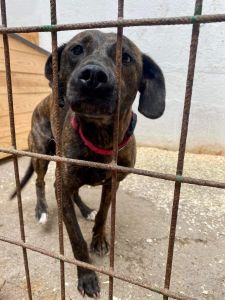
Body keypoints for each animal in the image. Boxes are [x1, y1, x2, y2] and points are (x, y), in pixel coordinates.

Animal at [11, 30, 165, 298]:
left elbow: (103, 214)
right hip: (41, 153)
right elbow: (75, 239)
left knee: (72, 192)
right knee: (40, 182)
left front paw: (99, 239)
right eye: (76, 50)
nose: (93, 76)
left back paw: (84, 209)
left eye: (125, 57)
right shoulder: (63, 184)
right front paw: (87, 276)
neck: (99, 136)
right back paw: (42, 210)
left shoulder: (112, 184)